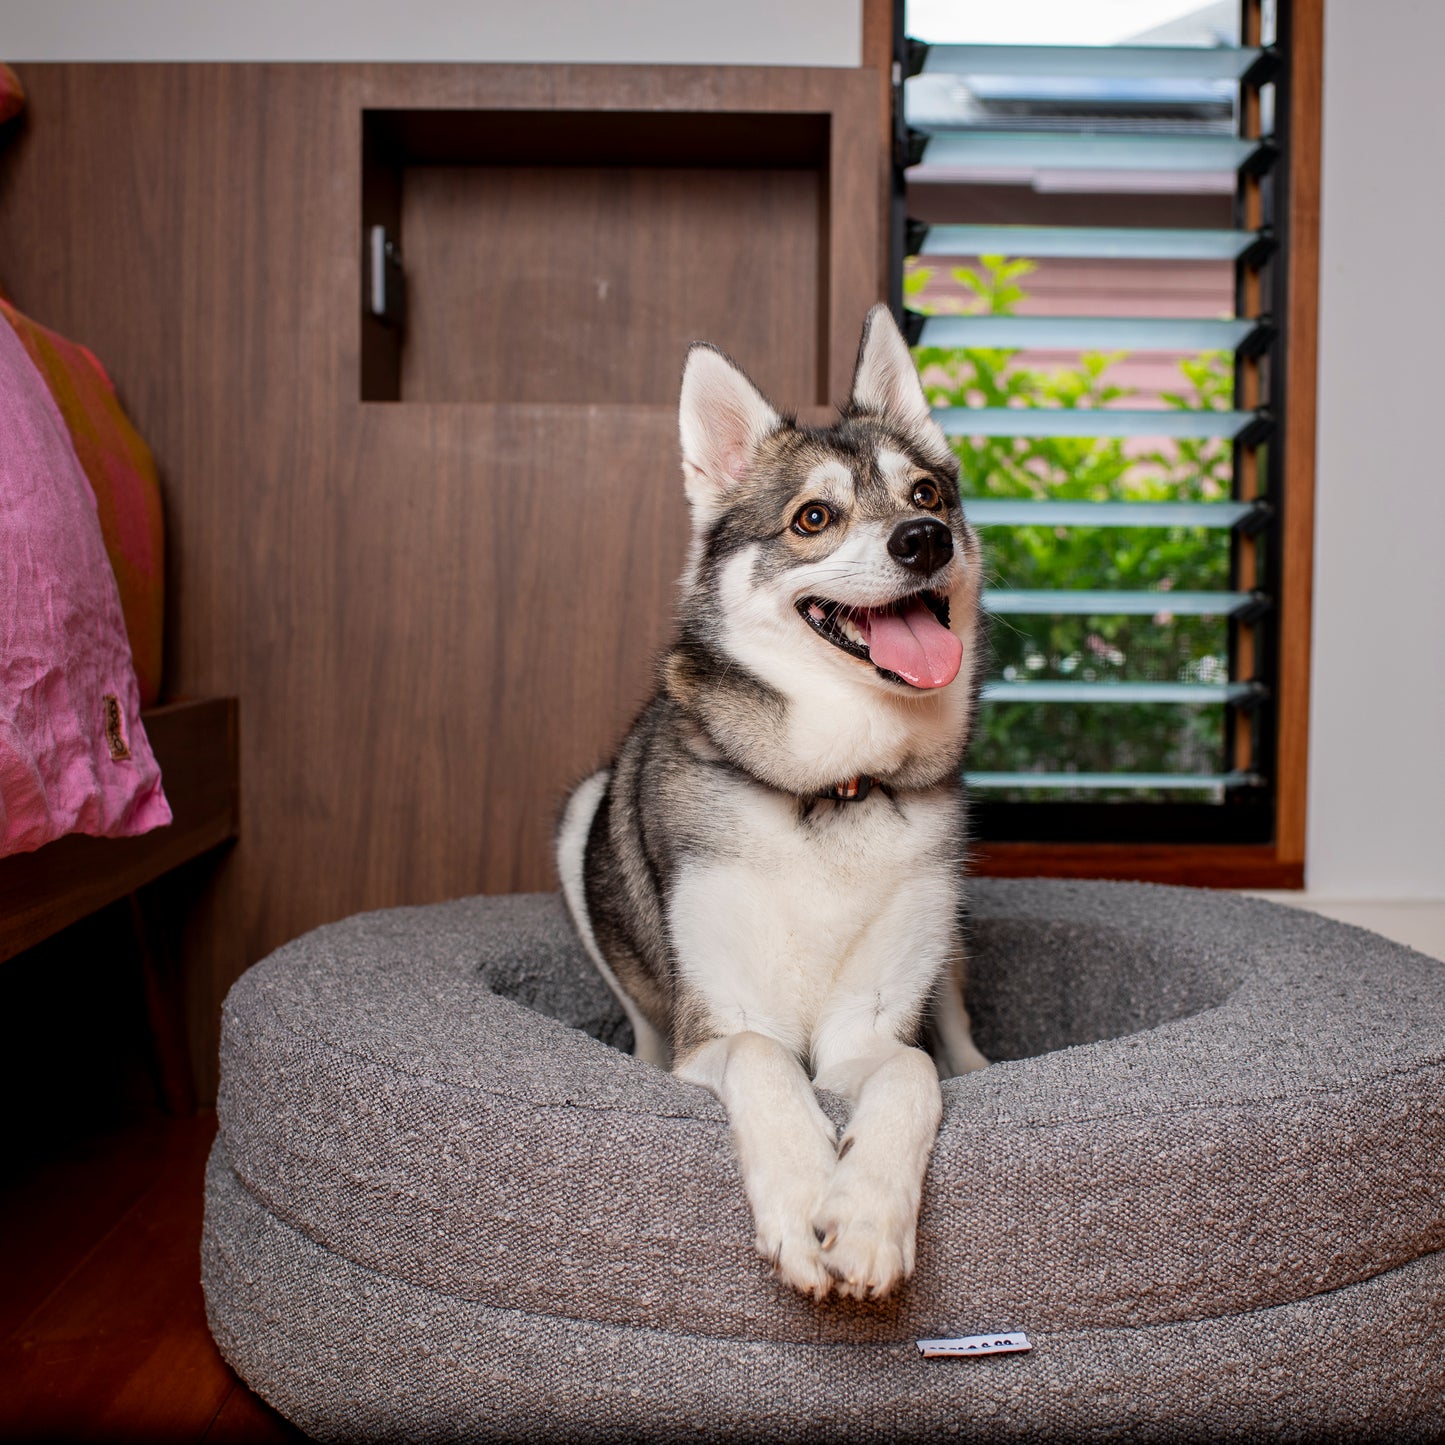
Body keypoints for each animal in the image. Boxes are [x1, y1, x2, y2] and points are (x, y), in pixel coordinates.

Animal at [557, 302, 988, 1300]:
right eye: (813, 518)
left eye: (925, 494)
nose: (924, 540)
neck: (832, 787)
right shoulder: (718, 1026)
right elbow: (758, 1056)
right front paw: (798, 1195)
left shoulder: (865, 1031)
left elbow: (910, 1070)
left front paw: (866, 1215)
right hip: (580, 827)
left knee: (949, 1018)